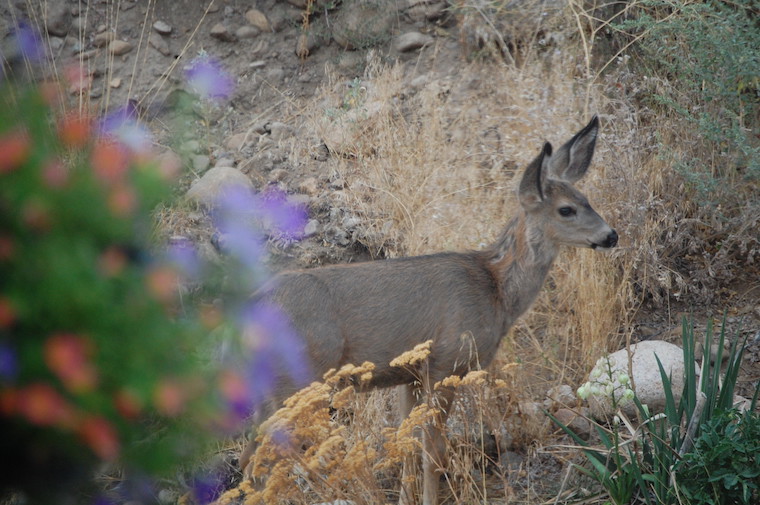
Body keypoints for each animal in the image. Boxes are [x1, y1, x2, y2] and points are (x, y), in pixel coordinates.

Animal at [238, 116, 618, 505]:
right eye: (566, 209)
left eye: (586, 200)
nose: (611, 235)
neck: (495, 288)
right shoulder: (446, 363)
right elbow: (433, 452)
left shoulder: (412, 374)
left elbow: (408, 444)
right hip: (295, 379)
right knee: (264, 459)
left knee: (248, 455)